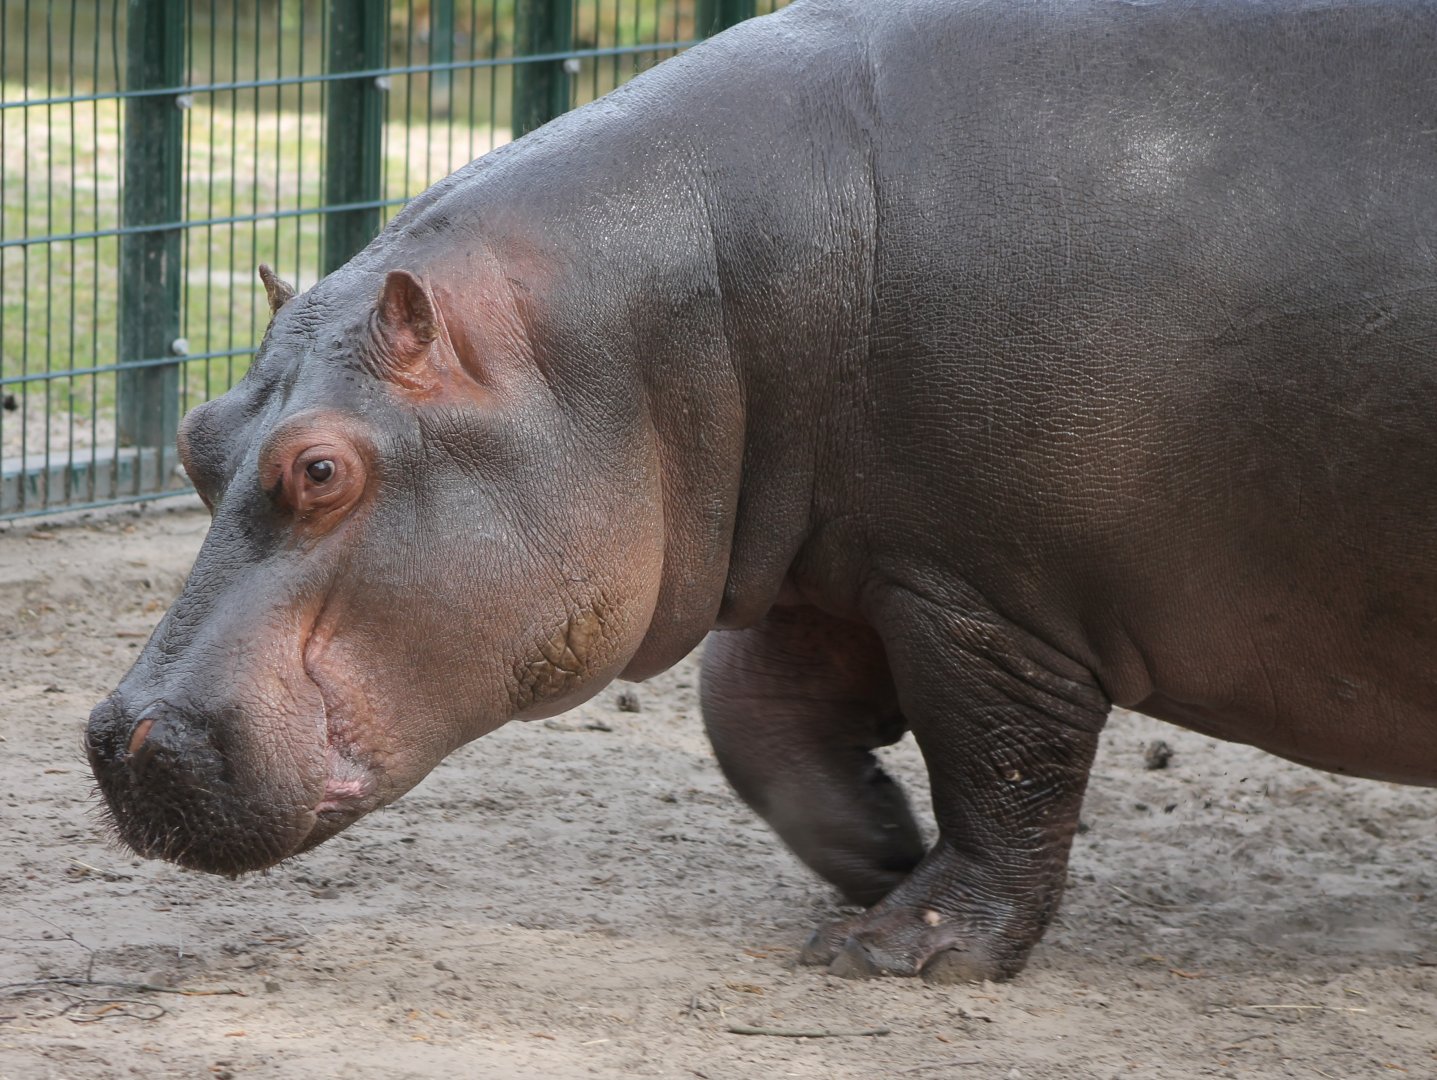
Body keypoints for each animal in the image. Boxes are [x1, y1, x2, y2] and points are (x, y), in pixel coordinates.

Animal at [87, 0, 1437, 983]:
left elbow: (1003, 769)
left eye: (320, 469)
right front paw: (881, 854)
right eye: (197, 439)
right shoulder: (849, 563)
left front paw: (897, 951)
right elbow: (755, 722)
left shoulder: (987, 601)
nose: (116, 736)